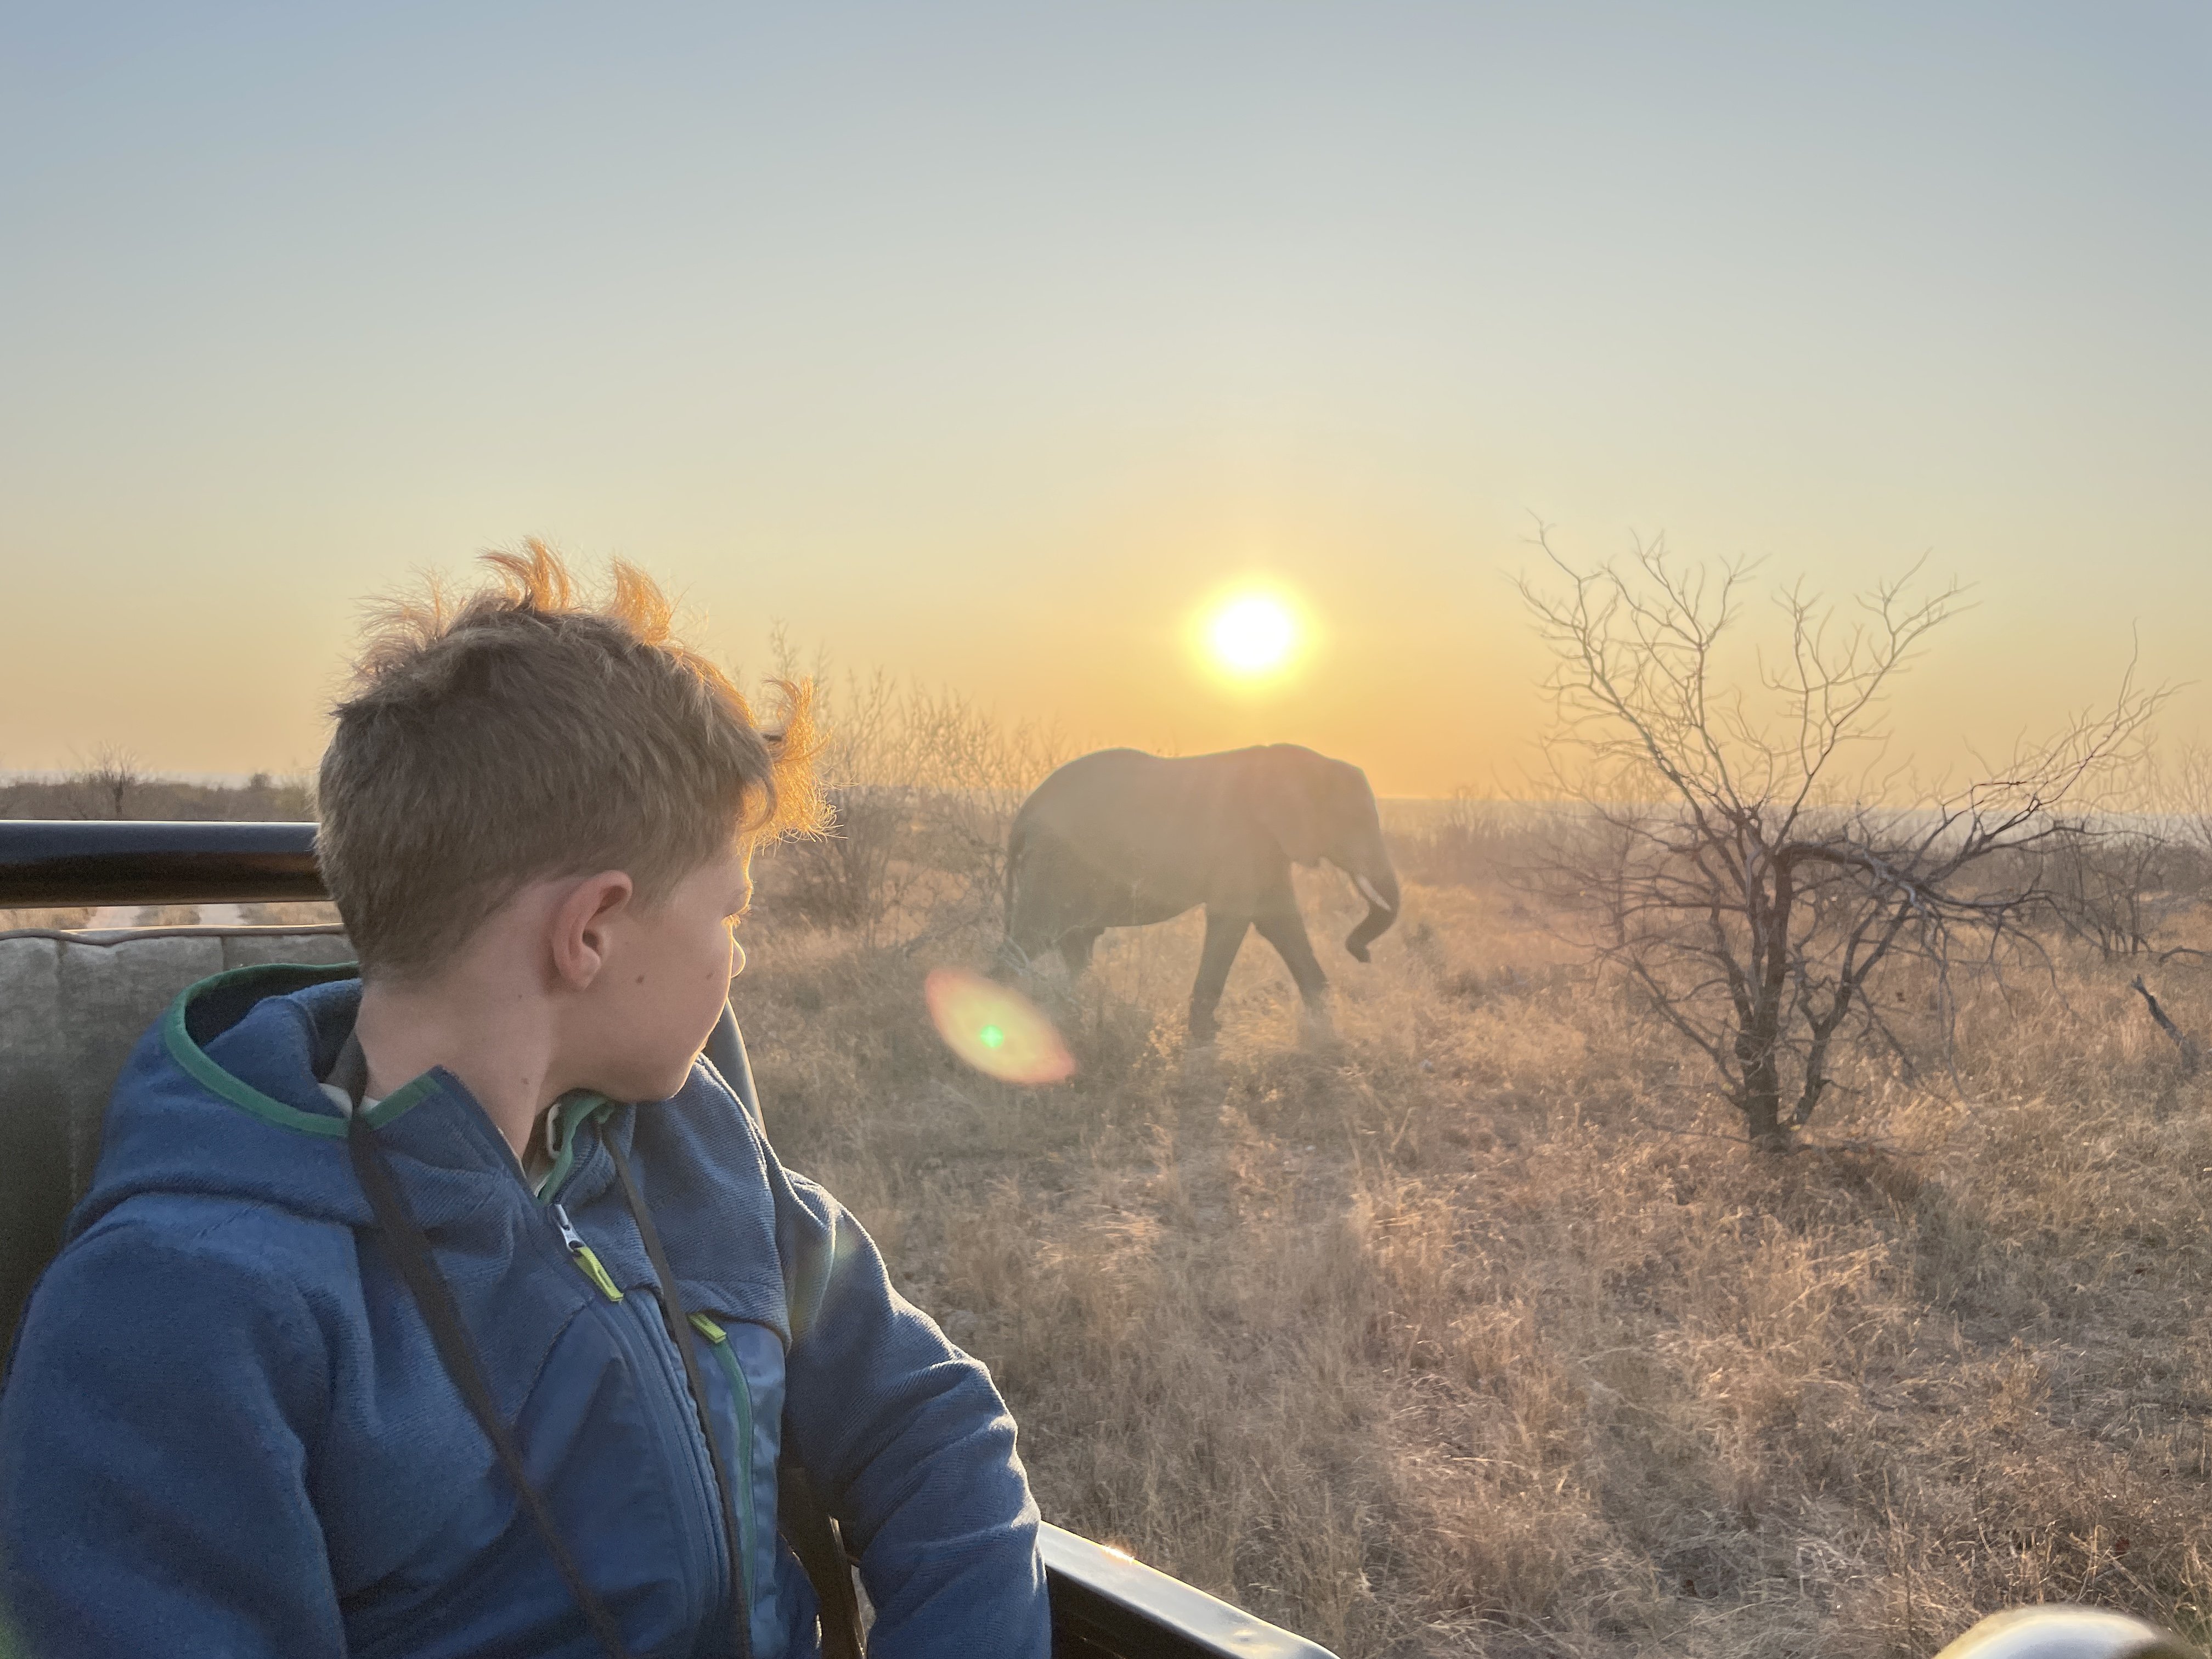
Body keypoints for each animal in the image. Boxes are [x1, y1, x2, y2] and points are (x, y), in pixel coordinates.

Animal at [1004, 747, 1398, 1044]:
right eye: (1355, 821)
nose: (1362, 954)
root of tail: (1023, 814)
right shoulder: (1241, 839)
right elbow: (1234, 918)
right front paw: (1206, 1035)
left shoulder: (1267, 846)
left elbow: (1280, 921)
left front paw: (1324, 1024)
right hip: (1055, 867)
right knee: (1030, 939)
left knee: (1075, 947)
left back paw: (1071, 1012)